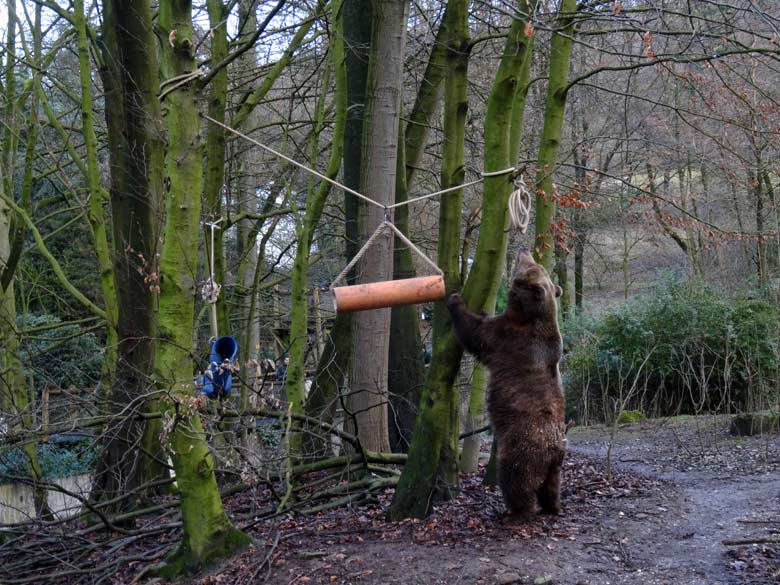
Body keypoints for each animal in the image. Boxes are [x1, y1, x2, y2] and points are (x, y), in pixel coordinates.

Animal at [448, 246, 564, 516]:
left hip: (522, 449)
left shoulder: (508, 338)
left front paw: (456, 300)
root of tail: (554, 452)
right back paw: (551, 506)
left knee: (515, 478)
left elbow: (476, 333)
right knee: (551, 486)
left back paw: (515, 509)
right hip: (555, 465)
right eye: (532, 263)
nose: (523, 249)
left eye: (525, 267)